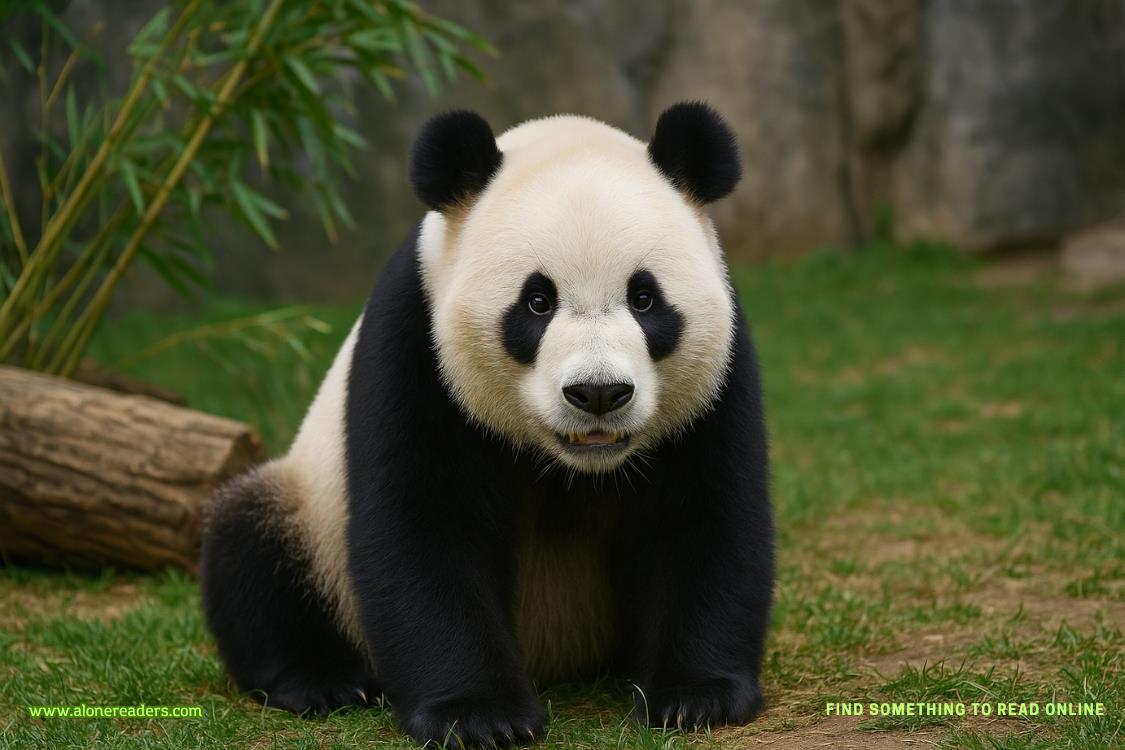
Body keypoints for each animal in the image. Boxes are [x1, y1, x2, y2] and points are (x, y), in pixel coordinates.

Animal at [200, 101, 773, 748]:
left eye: (645, 298)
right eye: (536, 302)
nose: (598, 393)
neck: (575, 466)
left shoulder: (718, 376)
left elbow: (703, 518)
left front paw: (696, 698)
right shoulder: (416, 340)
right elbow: (425, 527)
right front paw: (479, 715)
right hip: (309, 512)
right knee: (250, 549)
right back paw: (323, 682)